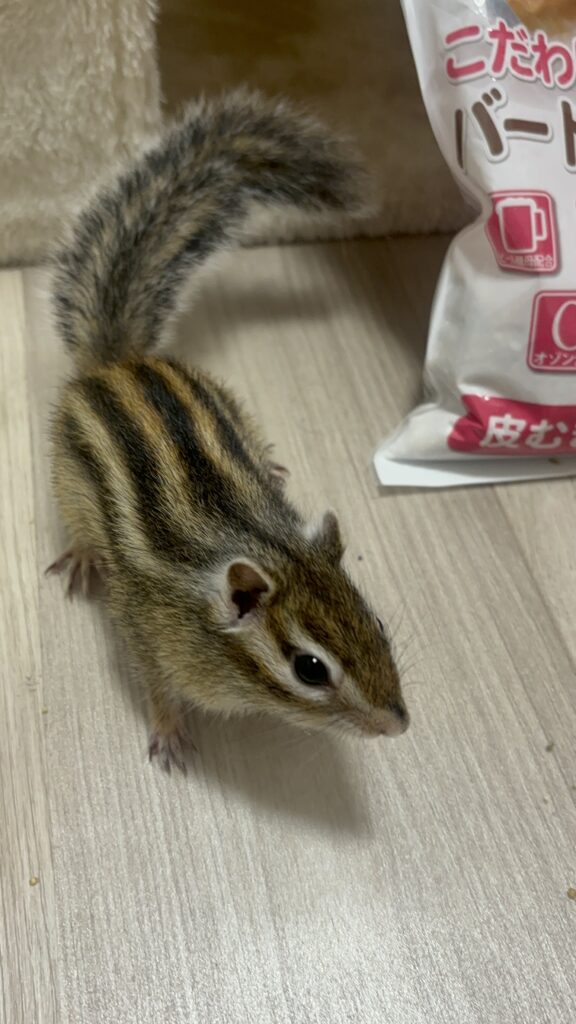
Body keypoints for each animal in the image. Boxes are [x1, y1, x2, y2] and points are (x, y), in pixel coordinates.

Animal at [47, 90, 409, 770]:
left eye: (374, 622)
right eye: (311, 668)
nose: (397, 725)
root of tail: (122, 361)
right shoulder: (148, 635)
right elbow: (154, 686)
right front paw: (170, 734)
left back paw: (269, 463)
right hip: (69, 478)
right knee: (78, 523)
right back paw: (83, 555)